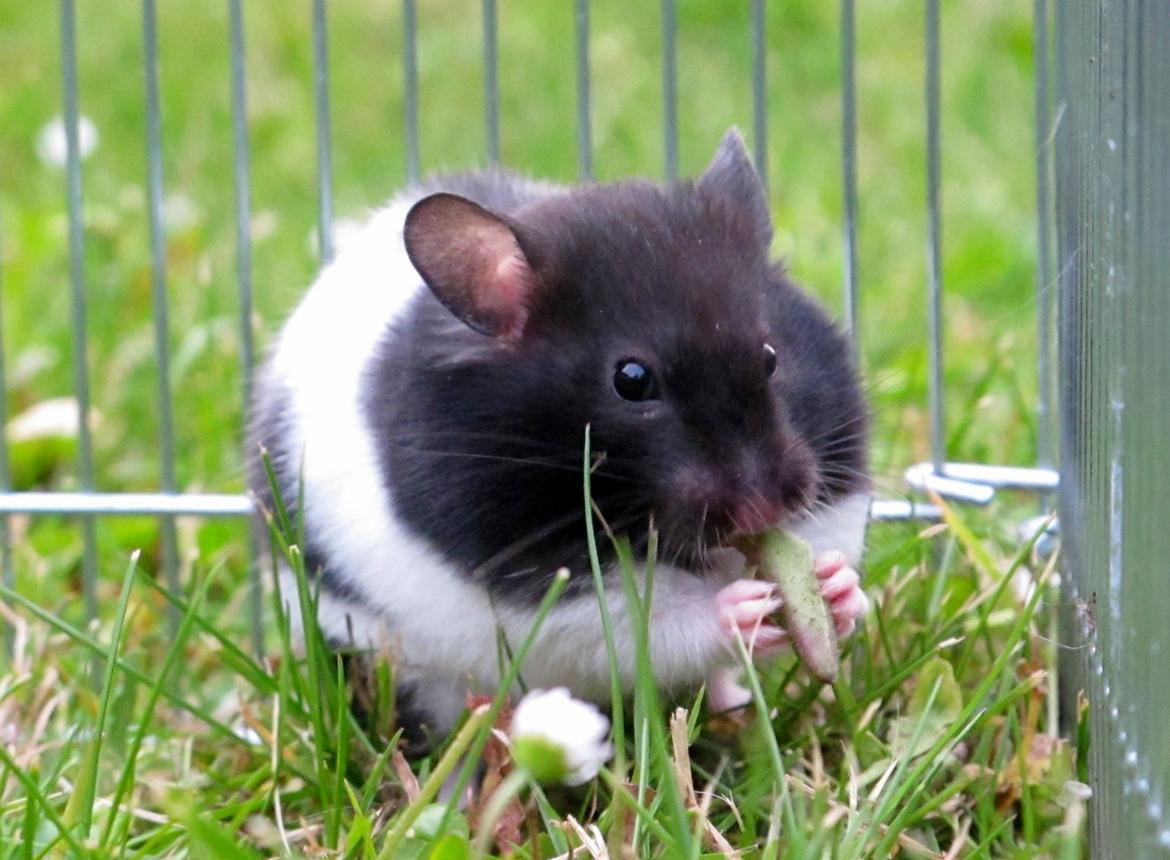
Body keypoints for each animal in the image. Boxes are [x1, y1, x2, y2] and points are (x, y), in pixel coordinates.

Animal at [249, 129, 871, 744]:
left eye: (770, 357)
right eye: (631, 380)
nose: (763, 511)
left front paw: (835, 586)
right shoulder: (540, 588)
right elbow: (644, 618)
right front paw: (742, 609)